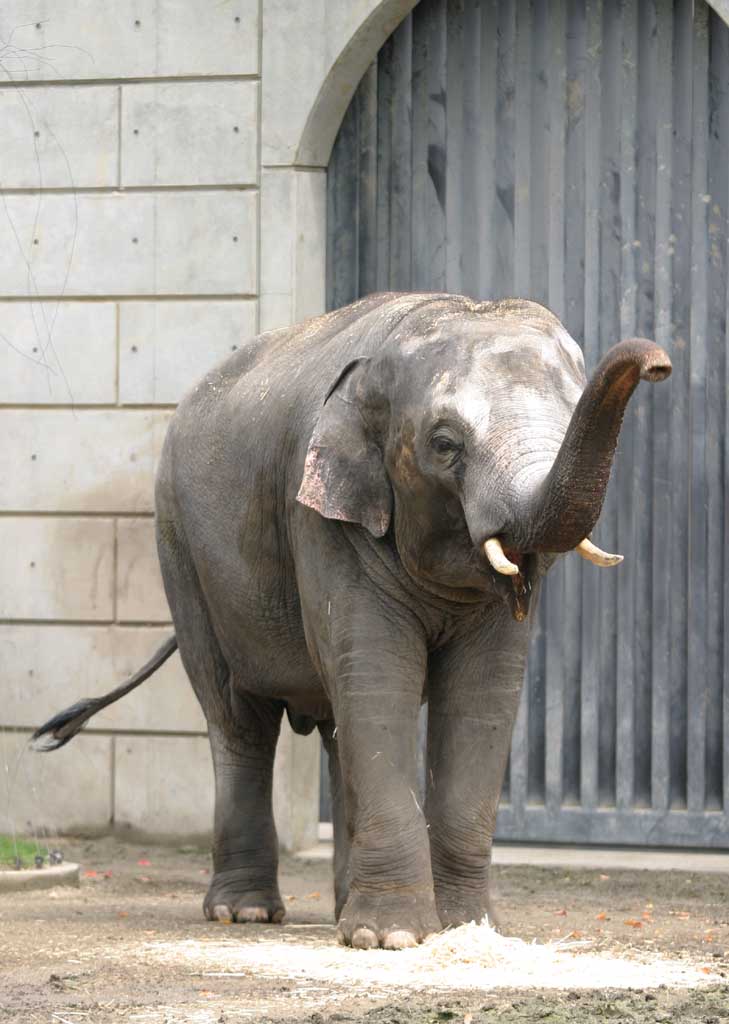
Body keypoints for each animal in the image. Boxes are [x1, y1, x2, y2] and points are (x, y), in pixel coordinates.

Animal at [35, 290, 671, 950]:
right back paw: (245, 912)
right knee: (238, 719)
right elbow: (379, 676)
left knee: (338, 727)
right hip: (179, 547)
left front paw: (466, 927)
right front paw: (393, 938)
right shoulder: (321, 517)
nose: (659, 364)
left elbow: (482, 695)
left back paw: (339, 908)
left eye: (572, 414)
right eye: (445, 444)